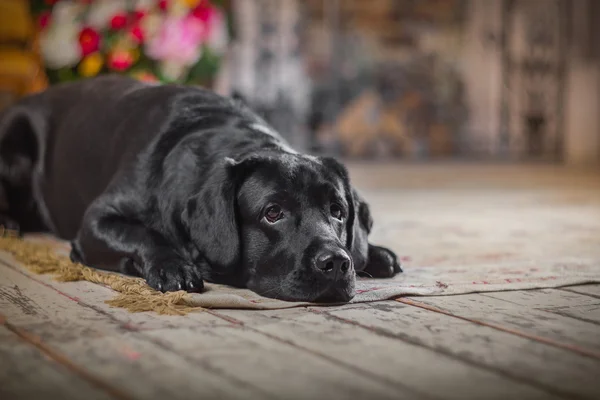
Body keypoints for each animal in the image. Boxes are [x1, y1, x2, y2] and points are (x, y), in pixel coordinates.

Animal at [1, 75, 404, 302]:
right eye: (272, 213)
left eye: (338, 212)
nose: (336, 262)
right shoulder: (96, 222)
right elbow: (142, 233)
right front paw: (173, 265)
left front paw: (374, 252)